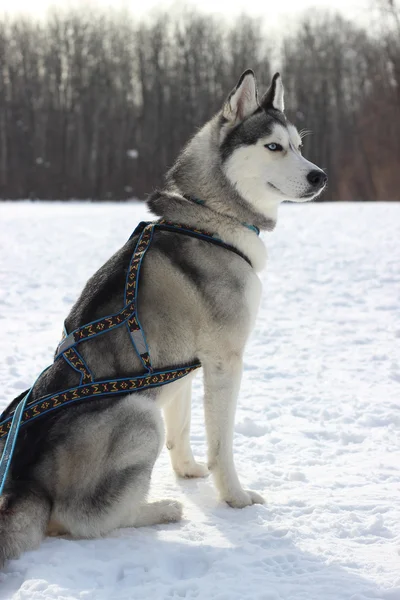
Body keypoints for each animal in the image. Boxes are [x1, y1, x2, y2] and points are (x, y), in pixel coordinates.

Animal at [0, 70, 324, 568]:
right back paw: (160, 510)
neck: (210, 215)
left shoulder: (184, 364)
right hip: (137, 412)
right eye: (274, 147)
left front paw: (188, 471)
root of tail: (25, 484)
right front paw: (235, 498)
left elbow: (184, 428)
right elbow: (221, 445)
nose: (319, 176)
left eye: (299, 145)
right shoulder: (225, 360)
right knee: (80, 519)